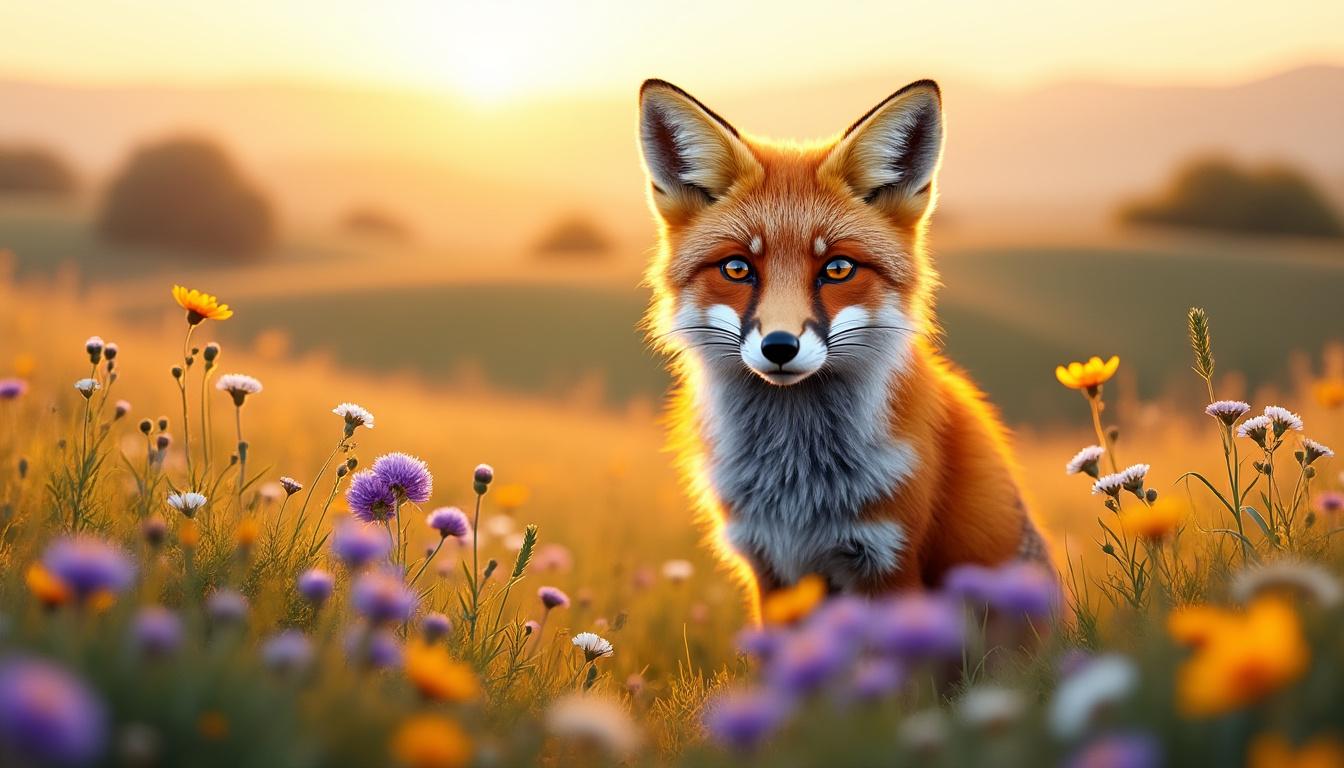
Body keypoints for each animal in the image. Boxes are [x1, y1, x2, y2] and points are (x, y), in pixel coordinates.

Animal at [636, 78, 1051, 614]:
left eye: (837, 269)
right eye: (736, 268)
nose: (779, 346)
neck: (796, 481)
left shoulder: (889, 560)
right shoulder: (768, 567)